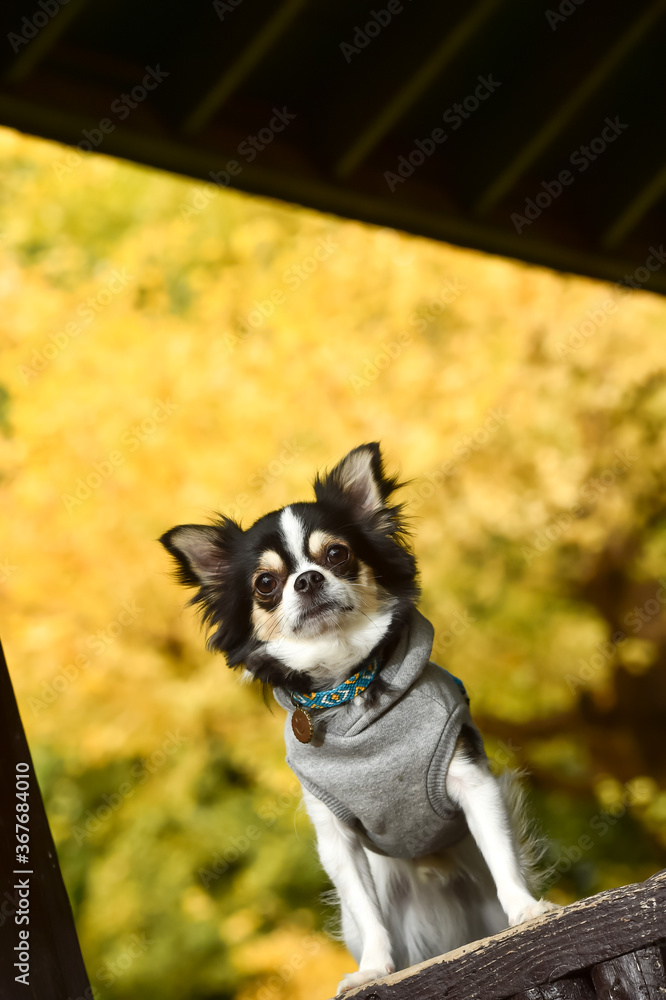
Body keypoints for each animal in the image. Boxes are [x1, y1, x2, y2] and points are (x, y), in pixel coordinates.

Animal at [160, 443, 556, 994]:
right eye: (265, 583)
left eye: (336, 555)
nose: (307, 579)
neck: (349, 685)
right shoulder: (338, 837)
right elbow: (368, 915)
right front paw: (373, 969)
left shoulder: (472, 781)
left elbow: (501, 855)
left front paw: (525, 910)